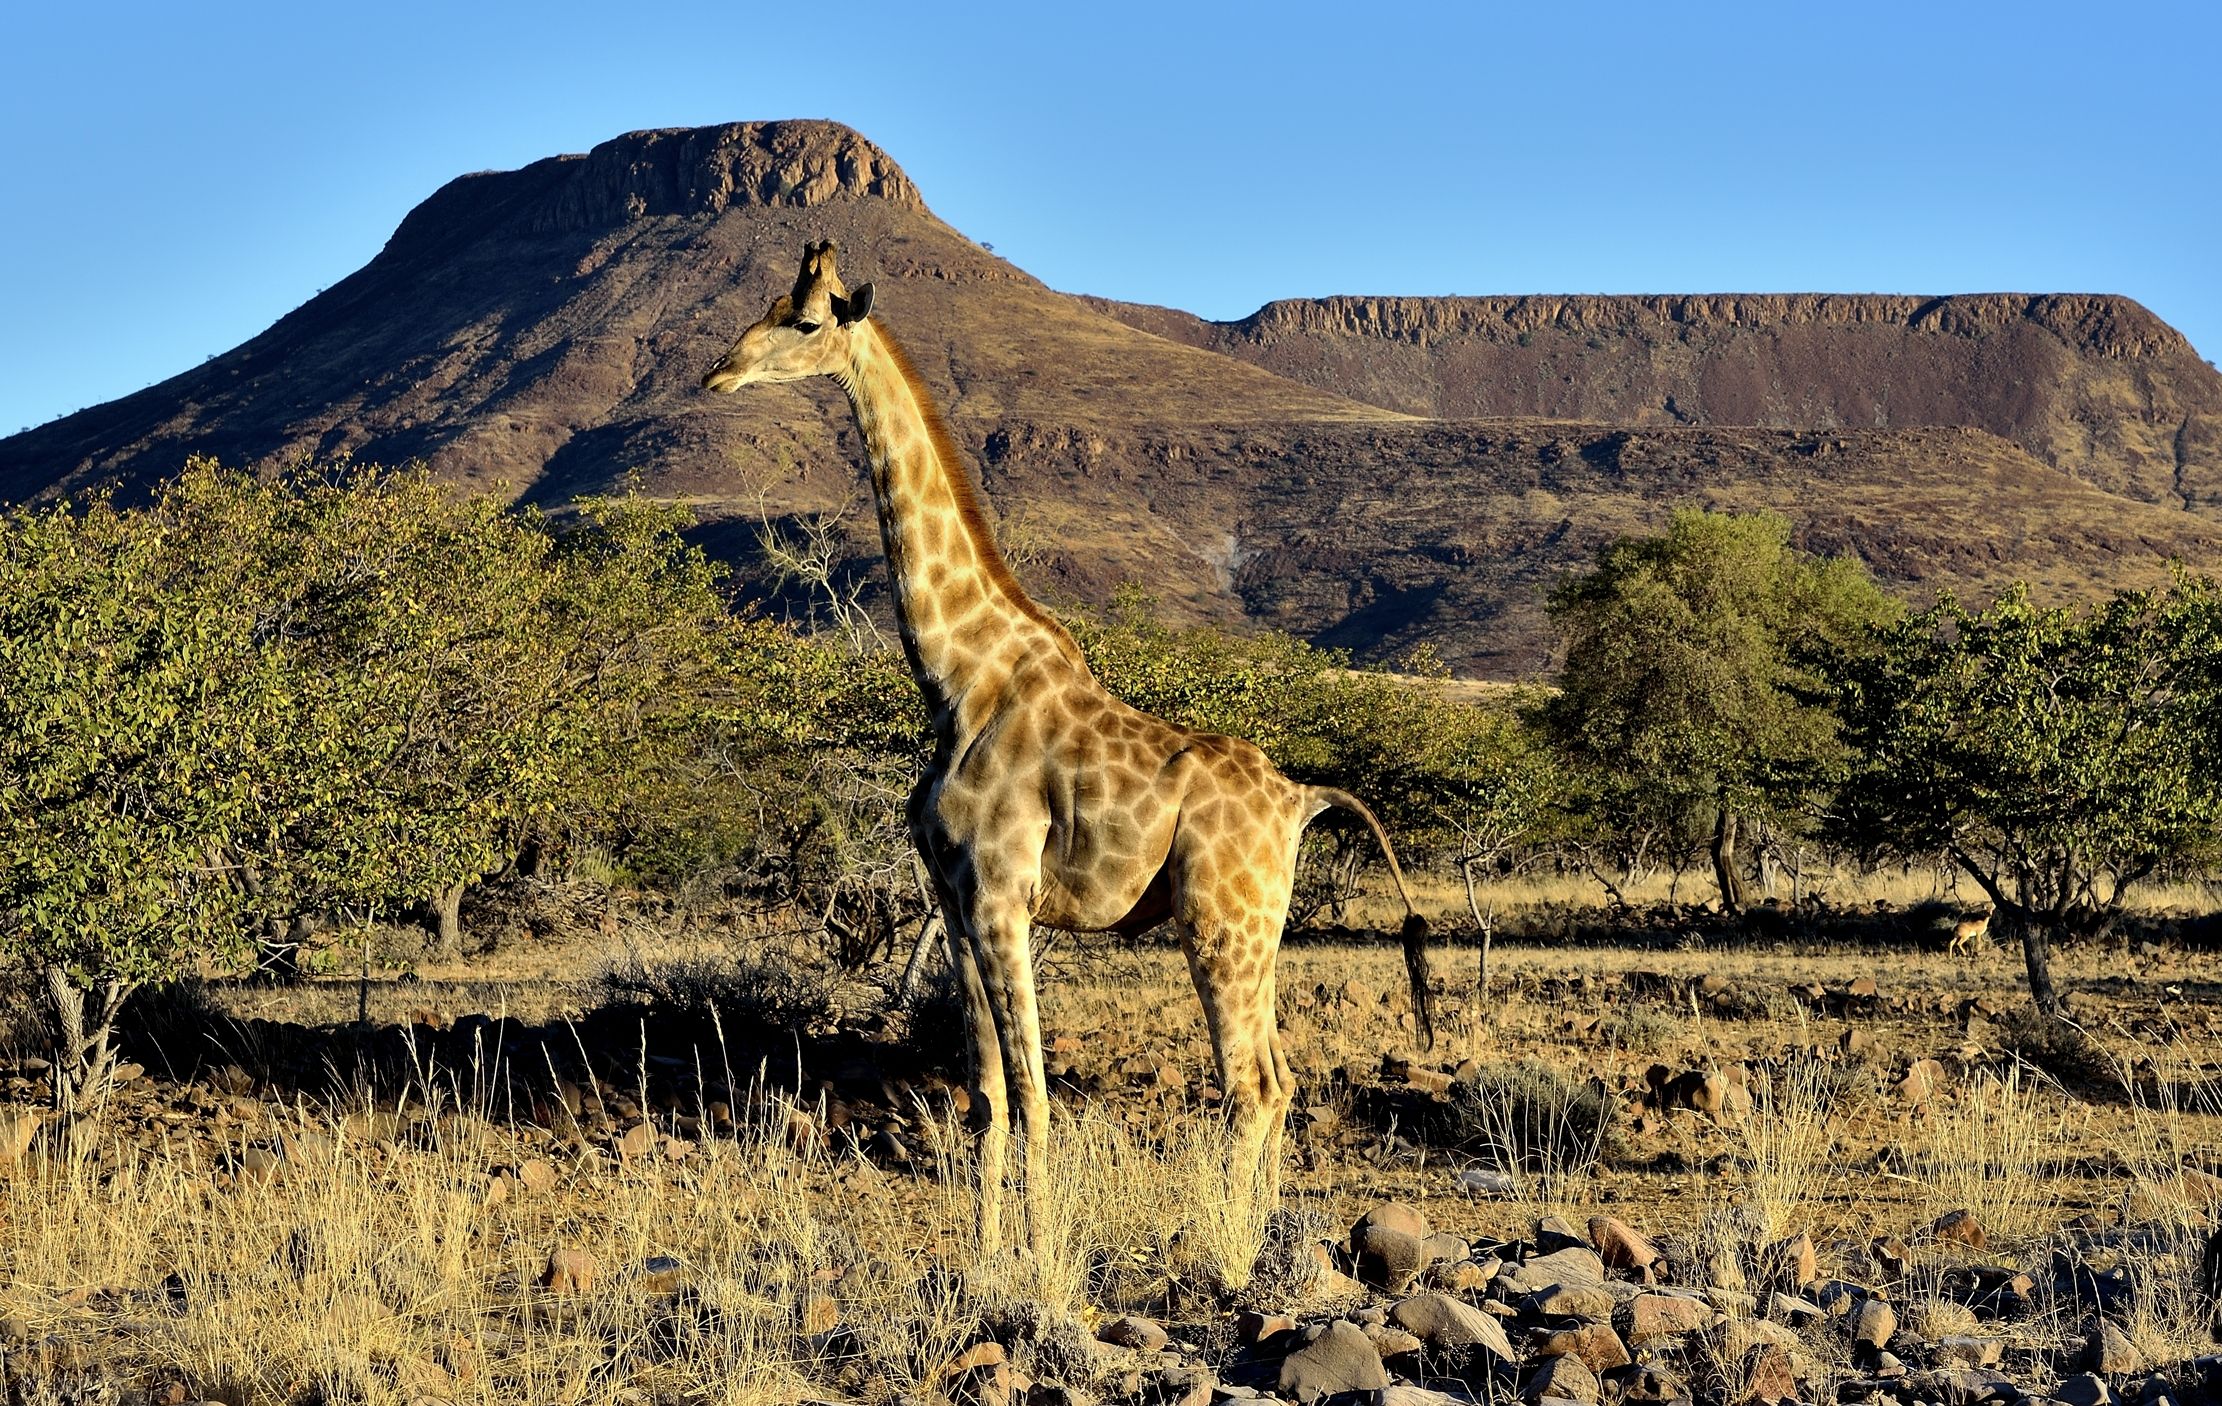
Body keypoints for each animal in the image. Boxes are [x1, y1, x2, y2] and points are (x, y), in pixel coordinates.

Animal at [701, 241, 1435, 1257]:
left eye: (804, 321)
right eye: (767, 304)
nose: (716, 373)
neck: (959, 678)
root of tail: (1301, 799)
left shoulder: (1004, 896)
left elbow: (1038, 1097)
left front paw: (1040, 1257)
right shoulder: (956, 901)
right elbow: (986, 1096)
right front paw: (983, 1254)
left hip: (1219, 924)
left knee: (1250, 1088)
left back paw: (1225, 1250)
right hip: (1259, 934)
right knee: (1283, 1080)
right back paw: (1258, 1233)